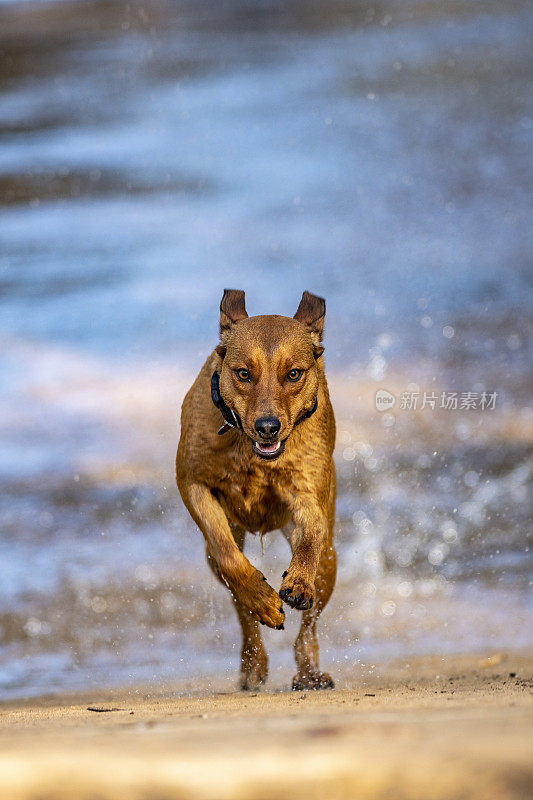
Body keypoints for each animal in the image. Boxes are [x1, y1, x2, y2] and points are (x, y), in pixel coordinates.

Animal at [177, 288, 334, 688]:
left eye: (293, 374)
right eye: (244, 373)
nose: (267, 426)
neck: (251, 452)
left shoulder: (309, 495)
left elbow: (310, 533)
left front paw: (297, 582)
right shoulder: (191, 482)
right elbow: (228, 554)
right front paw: (262, 599)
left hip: (330, 561)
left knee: (310, 623)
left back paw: (309, 672)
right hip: (215, 562)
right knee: (239, 605)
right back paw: (253, 662)